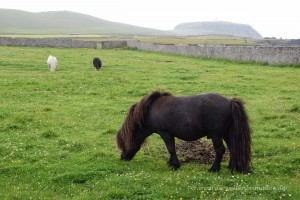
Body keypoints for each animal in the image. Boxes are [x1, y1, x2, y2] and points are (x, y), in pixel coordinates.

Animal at [116, 90, 252, 173]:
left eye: (123, 144)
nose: (123, 157)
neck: (151, 111)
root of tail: (230, 102)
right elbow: (171, 149)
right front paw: (171, 163)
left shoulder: (165, 133)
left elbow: (171, 149)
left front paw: (175, 165)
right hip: (226, 134)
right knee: (233, 148)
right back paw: (231, 168)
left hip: (216, 135)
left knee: (220, 150)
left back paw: (214, 169)